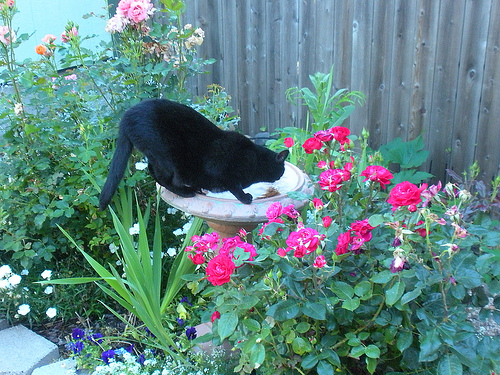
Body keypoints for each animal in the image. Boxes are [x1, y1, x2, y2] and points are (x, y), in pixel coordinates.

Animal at [98, 99, 290, 212]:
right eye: (281, 169)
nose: (281, 176)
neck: (255, 160)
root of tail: (126, 116)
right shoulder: (221, 170)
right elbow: (234, 186)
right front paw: (245, 197)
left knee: (154, 171)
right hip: (168, 155)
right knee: (163, 177)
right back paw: (186, 191)